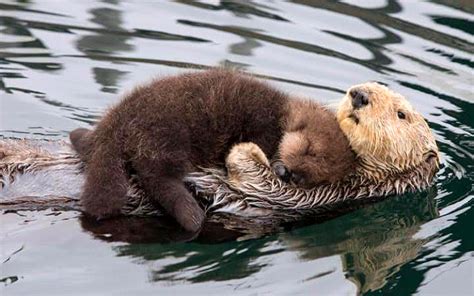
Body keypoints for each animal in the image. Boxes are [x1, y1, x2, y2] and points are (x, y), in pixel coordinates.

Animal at [71, 69, 356, 231]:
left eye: (310, 177)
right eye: (309, 150)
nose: (292, 174)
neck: (281, 113)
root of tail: (115, 125)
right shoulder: (263, 124)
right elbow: (265, 142)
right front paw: (277, 164)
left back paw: (79, 137)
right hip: (166, 136)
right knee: (158, 177)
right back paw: (192, 216)